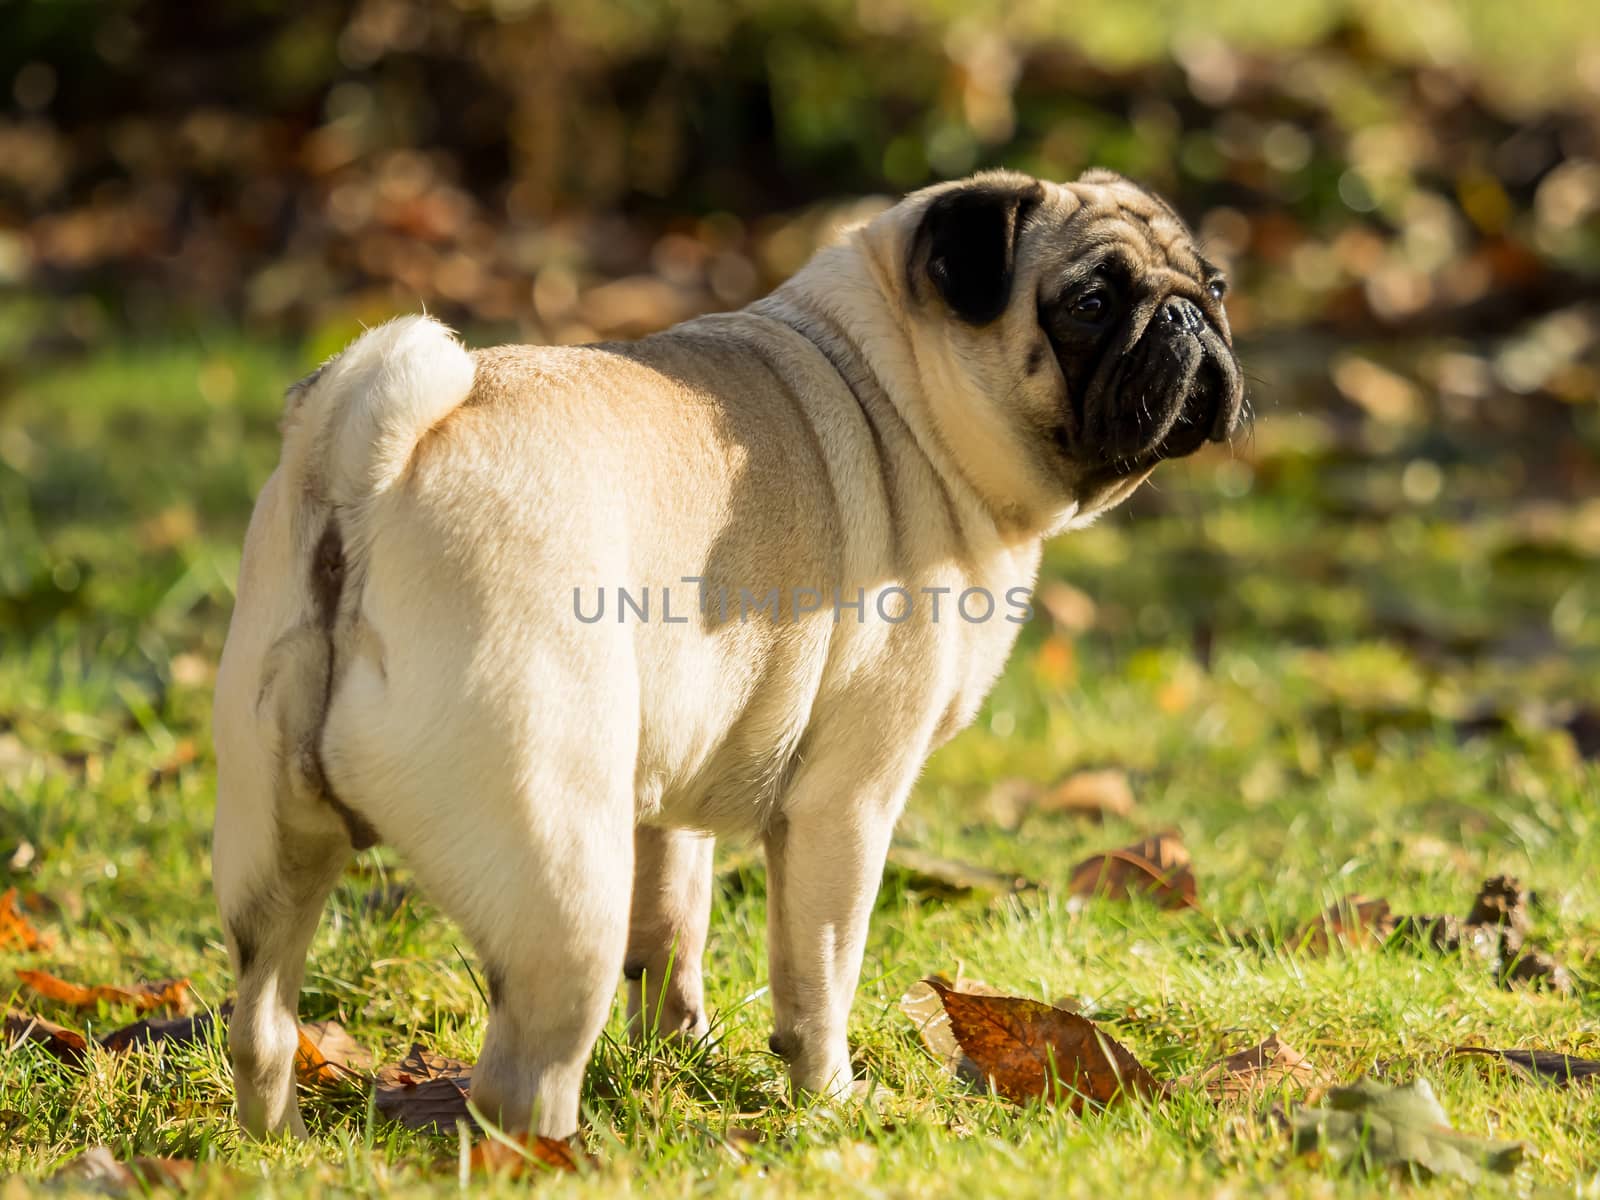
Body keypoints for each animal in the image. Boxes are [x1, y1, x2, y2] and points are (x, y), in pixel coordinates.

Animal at [212, 167, 1241, 1139]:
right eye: (1091, 304)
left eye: (1218, 283)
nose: (1189, 316)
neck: (899, 382)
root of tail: (367, 466)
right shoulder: (846, 805)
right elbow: (818, 973)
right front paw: (827, 1100)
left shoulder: (672, 790)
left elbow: (674, 928)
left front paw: (683, 1055)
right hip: (560, 871)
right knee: (523, 1075)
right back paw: (562, 1159)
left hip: (271, 848)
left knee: (261, 1021)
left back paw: (284, 1147)